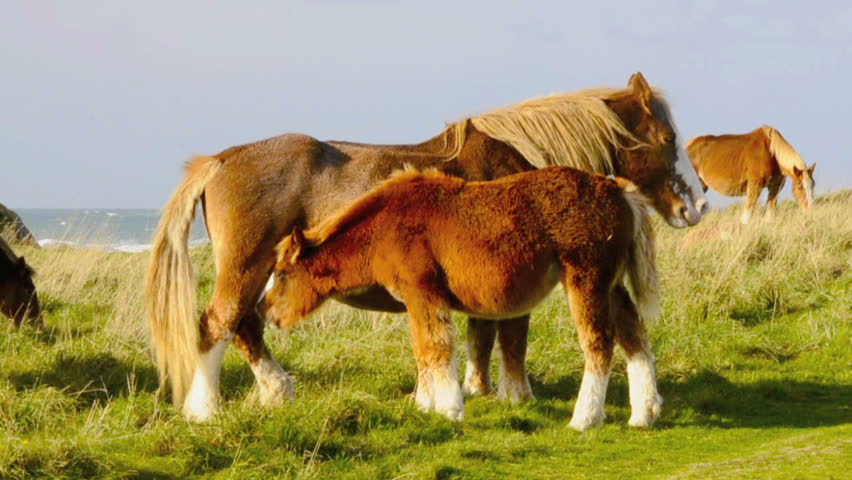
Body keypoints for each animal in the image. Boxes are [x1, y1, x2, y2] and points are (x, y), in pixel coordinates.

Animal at [260, 166, 661, 431]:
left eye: (281, 273)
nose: (266, 312)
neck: (385, 226)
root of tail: (618, 189)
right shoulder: (416, 301)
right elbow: (421, 351)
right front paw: (425, 405)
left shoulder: (424, 293)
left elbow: (435, 348)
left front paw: (449, 409)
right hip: (611, 285)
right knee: (635, 337)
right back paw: (643, 414)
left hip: (586, 280)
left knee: (599, 344)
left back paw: (584, 419)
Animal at [686, 125, 815, 224]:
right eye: (800, 187)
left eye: (812, 186)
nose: (809, 211)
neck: (771, 152)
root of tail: (689, 145)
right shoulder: (755, 186)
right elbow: (747, 214)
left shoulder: (775, 187)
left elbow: (770, 214)